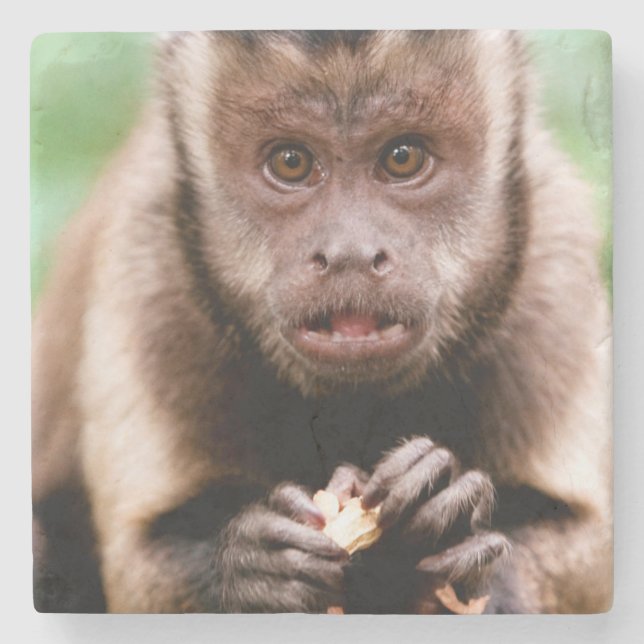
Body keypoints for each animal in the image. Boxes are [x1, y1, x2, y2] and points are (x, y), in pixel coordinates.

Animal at [32, 30, 612, 614]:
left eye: (403, 157)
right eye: (291, 162)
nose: (350, 253)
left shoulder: (552, 260)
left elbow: (585, 547)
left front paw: (450, 527)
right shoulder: (150, 261)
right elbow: (140, 566)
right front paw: (253, 570)